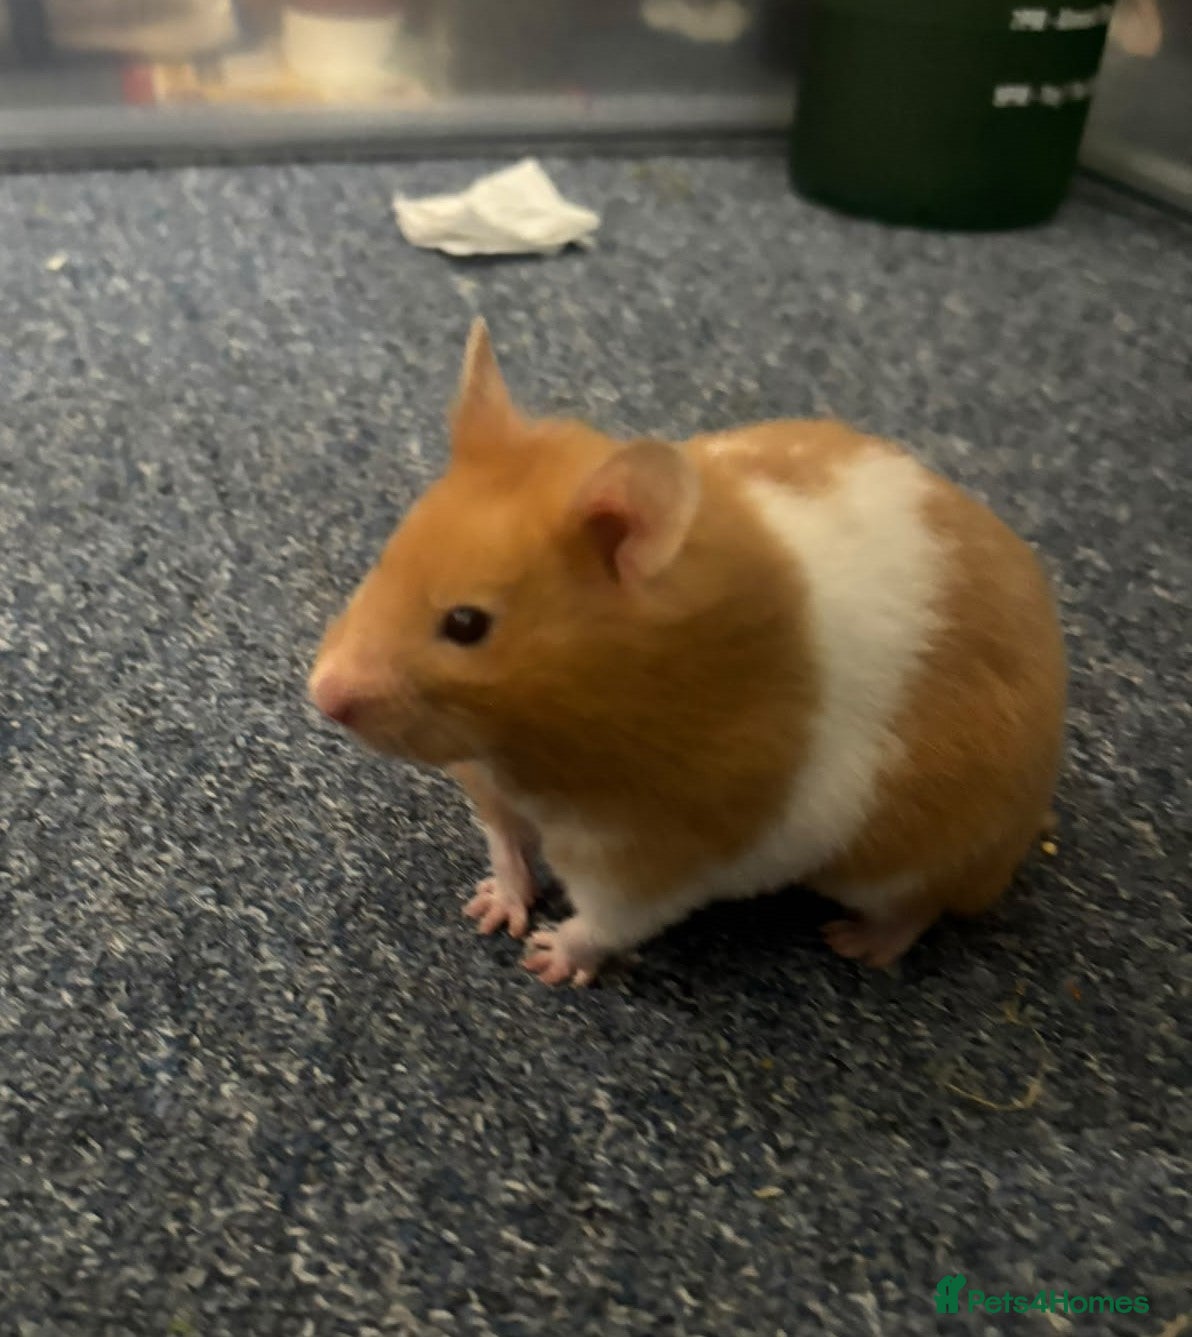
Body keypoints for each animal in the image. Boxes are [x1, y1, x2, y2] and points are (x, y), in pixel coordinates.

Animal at [309, 319, 1066, 985]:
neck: (530, 749)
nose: (319, 694)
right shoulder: (493, 784)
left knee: (920, 904)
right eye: (386, 558)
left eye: (466, 623)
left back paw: (856, 943)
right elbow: (505, 844)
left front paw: (546, 959)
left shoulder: (663, 854)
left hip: (917, 855)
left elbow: (610, 919)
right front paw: (491, 912)